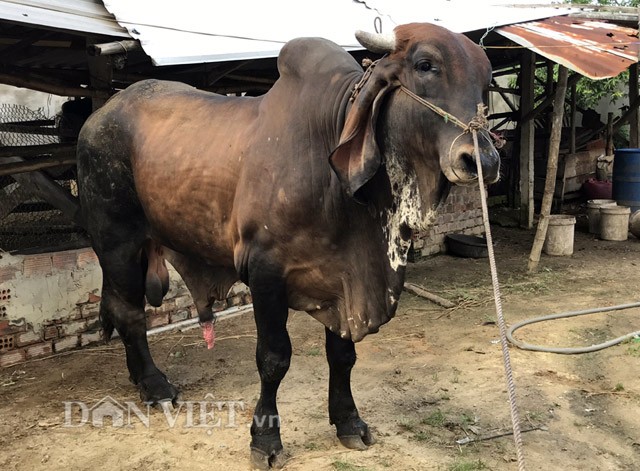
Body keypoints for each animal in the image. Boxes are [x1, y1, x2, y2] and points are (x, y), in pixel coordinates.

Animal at [77, 24, 500, 470]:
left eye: (486, 81)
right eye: (425, 65)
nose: (483, 160)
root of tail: (98, 116)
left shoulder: (344, 281)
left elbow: (342, 355)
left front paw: (349, 421)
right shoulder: (265, 272)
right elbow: (273, 358)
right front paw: (265, 438)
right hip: (116, 241)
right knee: (129, 312)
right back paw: (155, 384)